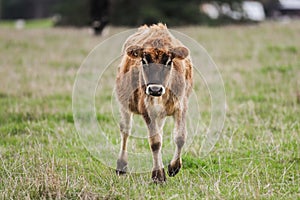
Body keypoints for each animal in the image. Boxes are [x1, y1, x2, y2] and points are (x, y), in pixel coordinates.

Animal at [115, 23, 192, 183]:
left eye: (168, 62)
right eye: (144, 61)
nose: (155, 89)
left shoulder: (182, 106)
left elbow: (180, 137)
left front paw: (173, 167)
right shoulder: (147, 110)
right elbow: (155, 143)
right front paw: (158, 176)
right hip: (124, 105)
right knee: (125, 131)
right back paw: (121, 166)